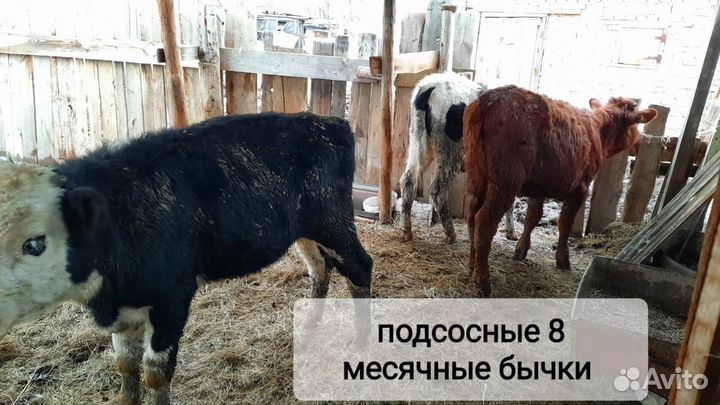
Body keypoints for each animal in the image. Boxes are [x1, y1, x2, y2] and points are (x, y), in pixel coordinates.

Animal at [0, 112, 373, 405]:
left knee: (359, 267)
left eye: (35, 243)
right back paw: (308, 325)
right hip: (305, 231)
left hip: (332, 221)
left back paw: (360, 341)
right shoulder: (125, 311)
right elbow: (125, 366)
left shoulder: (171, 299)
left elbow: (156, 373)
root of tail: (328, 122)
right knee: (320, 267)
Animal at [399, 72, 517, 243]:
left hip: (419, 142)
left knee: (408, 180)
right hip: (452, 152)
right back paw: (450, 233)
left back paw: (406, 230)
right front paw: (510, 231)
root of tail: (430, 86)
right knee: (437, 189)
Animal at [463, 85, 657, 296]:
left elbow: (533, 217)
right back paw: (483, 282)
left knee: (472, 216)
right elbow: (565, 223)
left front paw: (521, 249)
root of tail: (488, 99)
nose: (639, 141)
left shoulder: (539, 188)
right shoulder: (580, 189)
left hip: (476, 177)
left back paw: (472, 269)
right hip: (505, 183)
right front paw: (563, 258)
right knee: (484, 221)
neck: (597, 129)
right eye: (636, 125)